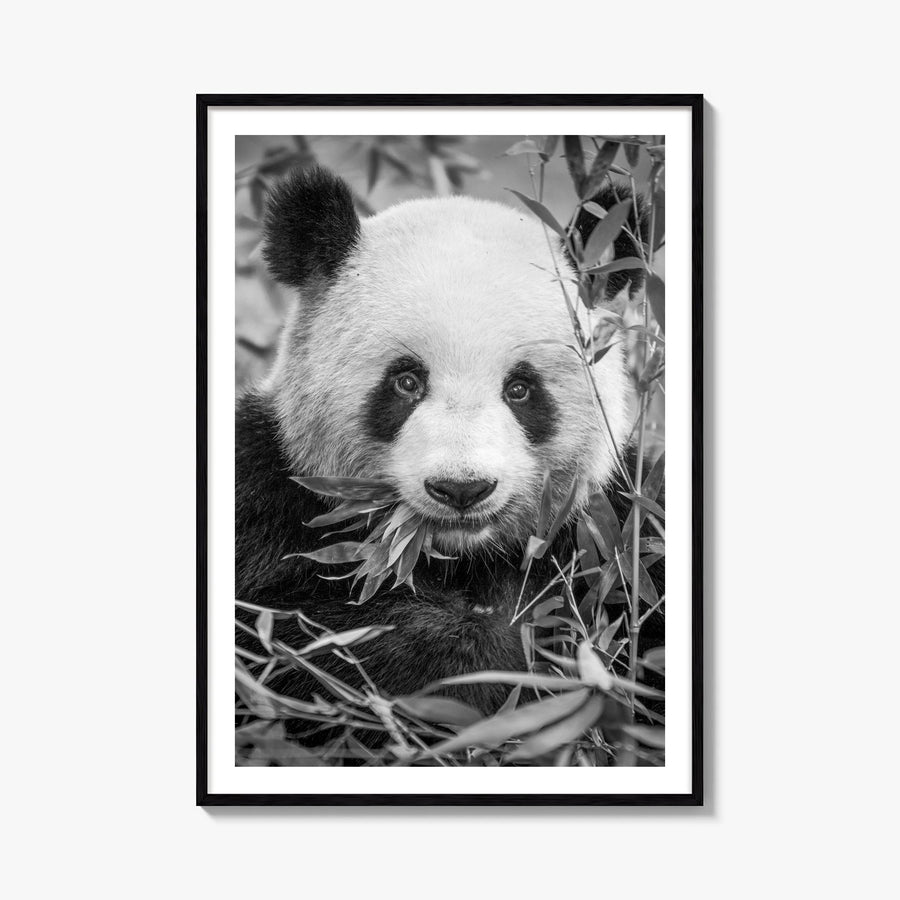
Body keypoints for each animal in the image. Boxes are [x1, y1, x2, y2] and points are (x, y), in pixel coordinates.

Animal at [236, 165, 659, 720]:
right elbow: (296, 639)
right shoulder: (265, 498)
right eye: (406, 382)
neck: (459, 558)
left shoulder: (617, 528)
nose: (462, 489)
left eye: (520, 389)